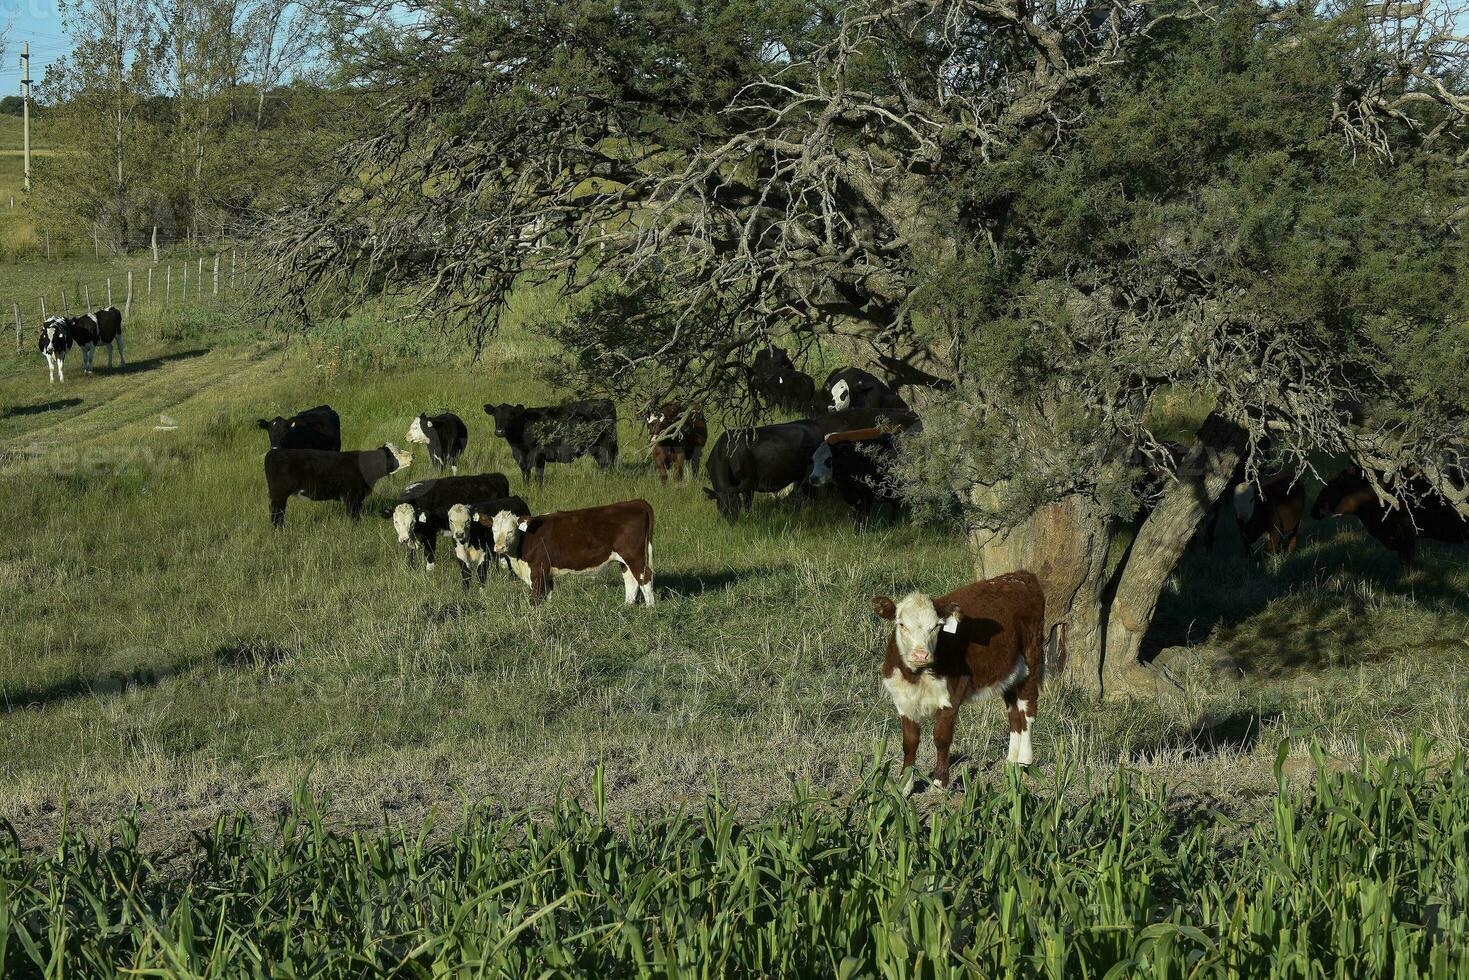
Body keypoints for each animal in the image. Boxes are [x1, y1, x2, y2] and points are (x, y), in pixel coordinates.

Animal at [264, 443, 411, 528]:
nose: (412, 455)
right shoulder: (351, 496)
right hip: (279, 495)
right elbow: (353, 516)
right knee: (277, 514)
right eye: (396, 453)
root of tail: (274, 452)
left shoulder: (358, 498)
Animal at [484, 399, 616, 484]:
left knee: (608, 464)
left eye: (511, 415)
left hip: (606, 444)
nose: (499, 431)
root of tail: (606, 401)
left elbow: (539, 477)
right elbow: (525, 475)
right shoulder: (520, 457)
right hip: (597, 448)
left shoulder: (539, 455)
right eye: (495, 415)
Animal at [487, 499, 655, 605]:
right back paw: (627, 606)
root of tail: (636, 502)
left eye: (510, 530)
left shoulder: (538, 570)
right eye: (493, 530)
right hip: (625, 559)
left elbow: (536, 598)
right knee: (631, 579)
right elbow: (548, 595)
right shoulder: (547, 573)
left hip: (634, 556)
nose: (499, 547)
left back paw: (650, 609)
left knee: (644, 577)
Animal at [869, 567, 1045, 787]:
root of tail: (1020, 575)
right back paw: (1011, 765)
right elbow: (910, 741)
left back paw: (1024, 764)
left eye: (936, 626)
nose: (921, 655)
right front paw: (905, 785)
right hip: (1010, 673)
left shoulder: (952, 695)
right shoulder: (902, 698)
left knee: (1028, 712)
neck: (916, 676)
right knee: (1015, 716)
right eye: (901, 624)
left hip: (1031, 662)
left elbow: (941, 738)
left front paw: (939, 782)